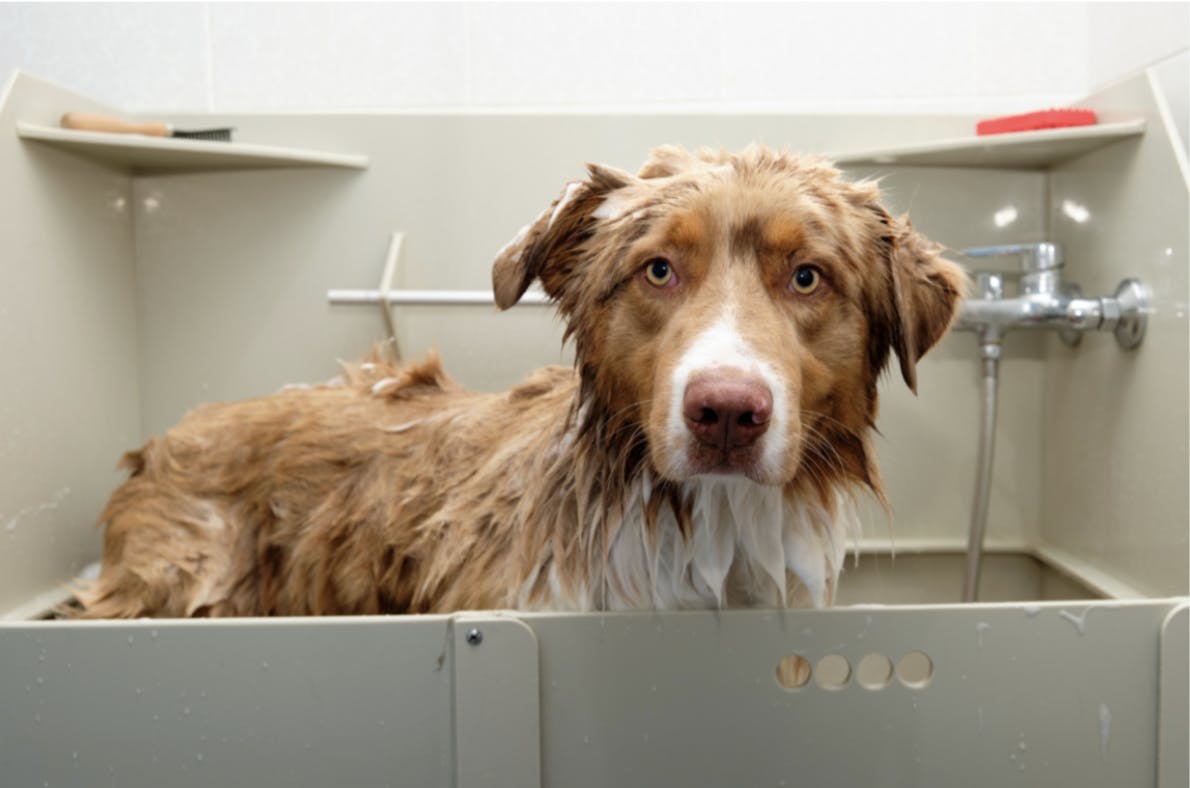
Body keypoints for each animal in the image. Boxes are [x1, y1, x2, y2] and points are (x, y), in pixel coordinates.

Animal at [71, 145, 966, 618]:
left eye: (808, 277)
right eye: (659, 270)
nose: (725, 412)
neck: (701, 528)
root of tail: (172, 430)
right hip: (187, 580)